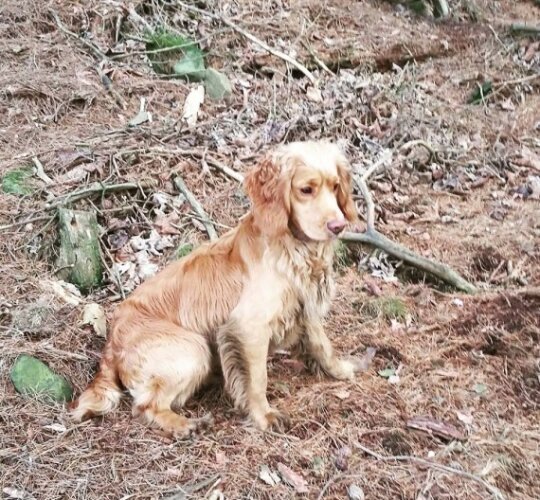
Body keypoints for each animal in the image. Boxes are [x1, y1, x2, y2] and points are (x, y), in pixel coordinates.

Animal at [70, 139, 362, 436]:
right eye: (306, 189)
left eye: (336, 186)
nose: (338, 226)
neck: (292, 246)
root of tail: (111, 341)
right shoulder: (248, 328)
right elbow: (258, 379)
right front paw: (264, 416)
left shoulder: (307, 306)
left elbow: (322, 344)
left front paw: (340, 370)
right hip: (194, 349)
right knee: (146, 405)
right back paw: (185, 425)